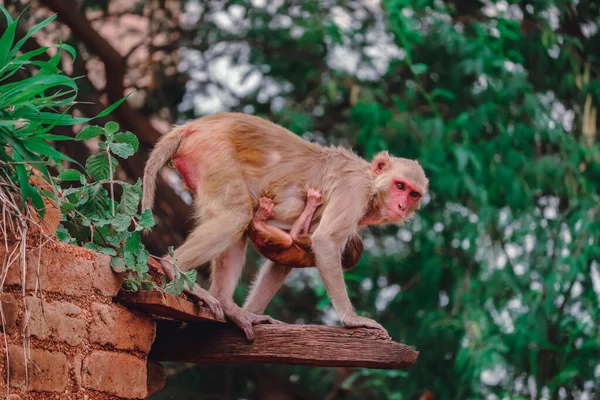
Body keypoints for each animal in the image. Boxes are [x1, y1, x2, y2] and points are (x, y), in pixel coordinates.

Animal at [143, 112, 428, 340]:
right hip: (213, 153)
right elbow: (325, 240)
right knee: (237, 216)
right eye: (399, 185)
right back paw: (172, 266)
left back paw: (229, 307)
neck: (370, 184)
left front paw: (251, 312)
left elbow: (283, 260)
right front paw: (351, 319)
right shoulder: (353, 190)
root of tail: (195, 125)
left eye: (413, 193)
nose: (402, 205)